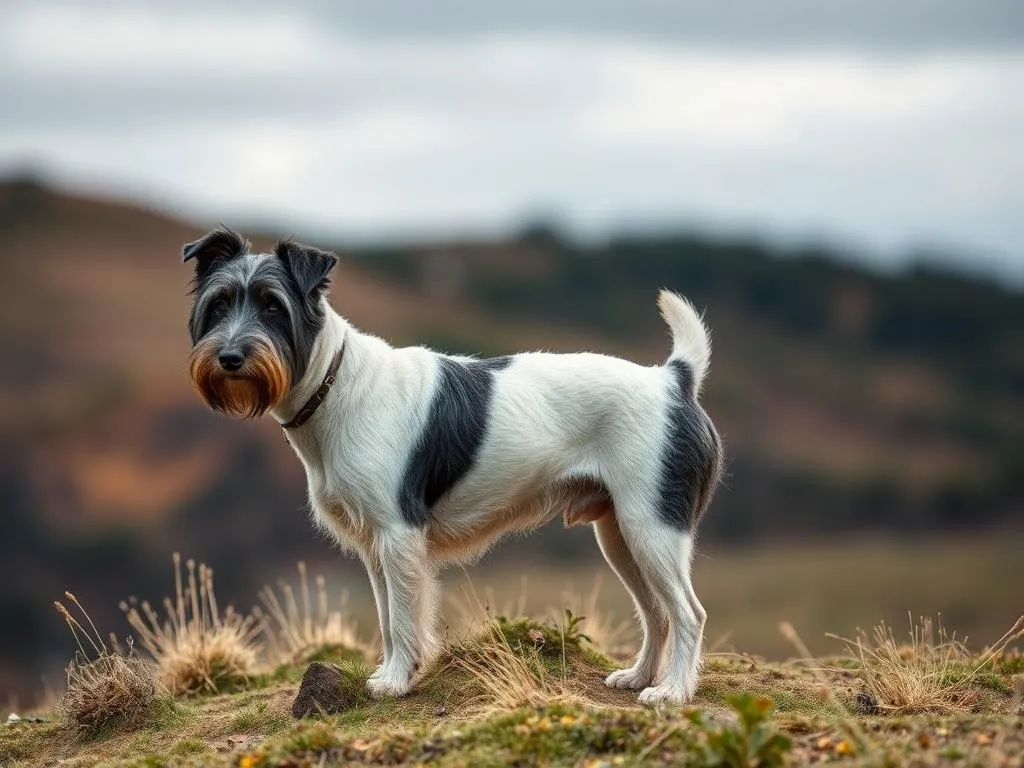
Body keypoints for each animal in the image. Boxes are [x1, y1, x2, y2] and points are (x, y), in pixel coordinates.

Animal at [188, 227, 724, 704]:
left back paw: (673, 692)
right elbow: (388, 617)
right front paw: (392, 671)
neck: (335, 383)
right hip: (621, 536)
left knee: (688, 613)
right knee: (656, 612)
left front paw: (398, 682)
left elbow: (403, 616)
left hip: (652, 529)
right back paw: (639, 677)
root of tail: (675, 380)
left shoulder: (398, 536)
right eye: (218, 305)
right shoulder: (375, 546)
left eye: (273, 305)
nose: (230, 357)